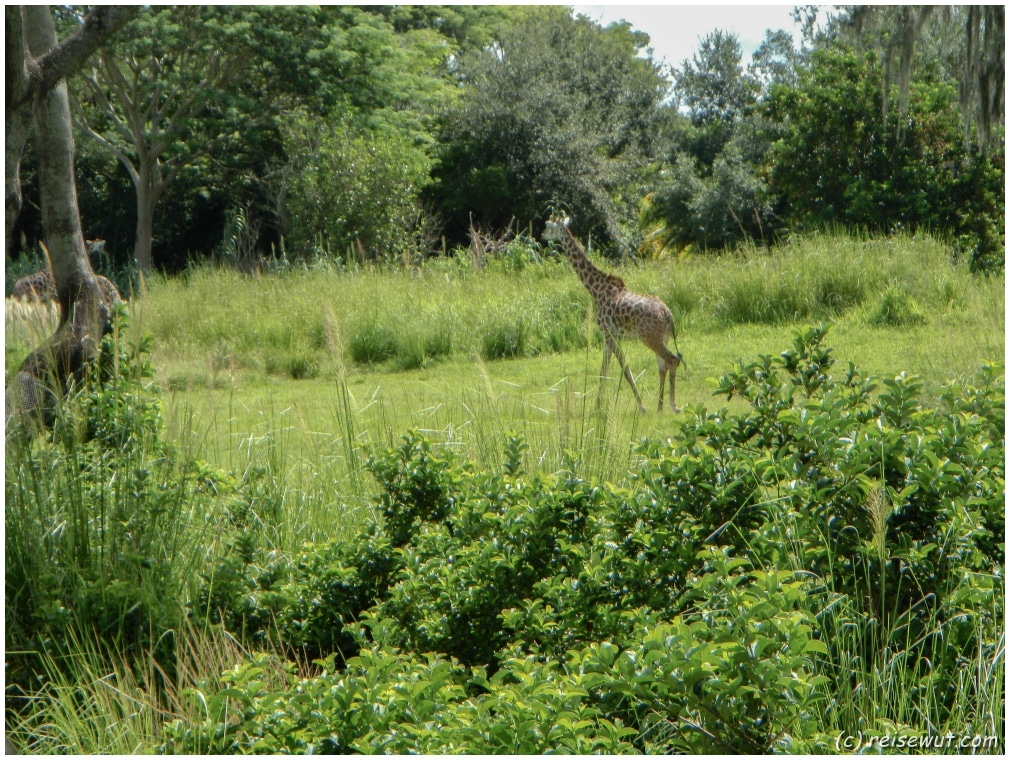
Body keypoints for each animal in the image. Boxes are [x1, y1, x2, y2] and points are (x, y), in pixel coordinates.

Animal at [541, 216, 682, 412]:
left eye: (548, 226)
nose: (542, 235)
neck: (596, 290)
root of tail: (668, 314)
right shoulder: (609, 337)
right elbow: (604, 370)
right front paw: (596, 407)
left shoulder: (608, 334)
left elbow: (624, 369)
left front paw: (641, 406)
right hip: (663, 337)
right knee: (662, 365)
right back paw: (659, 408)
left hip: (649, 337)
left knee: (672, 360)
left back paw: (672, 405)